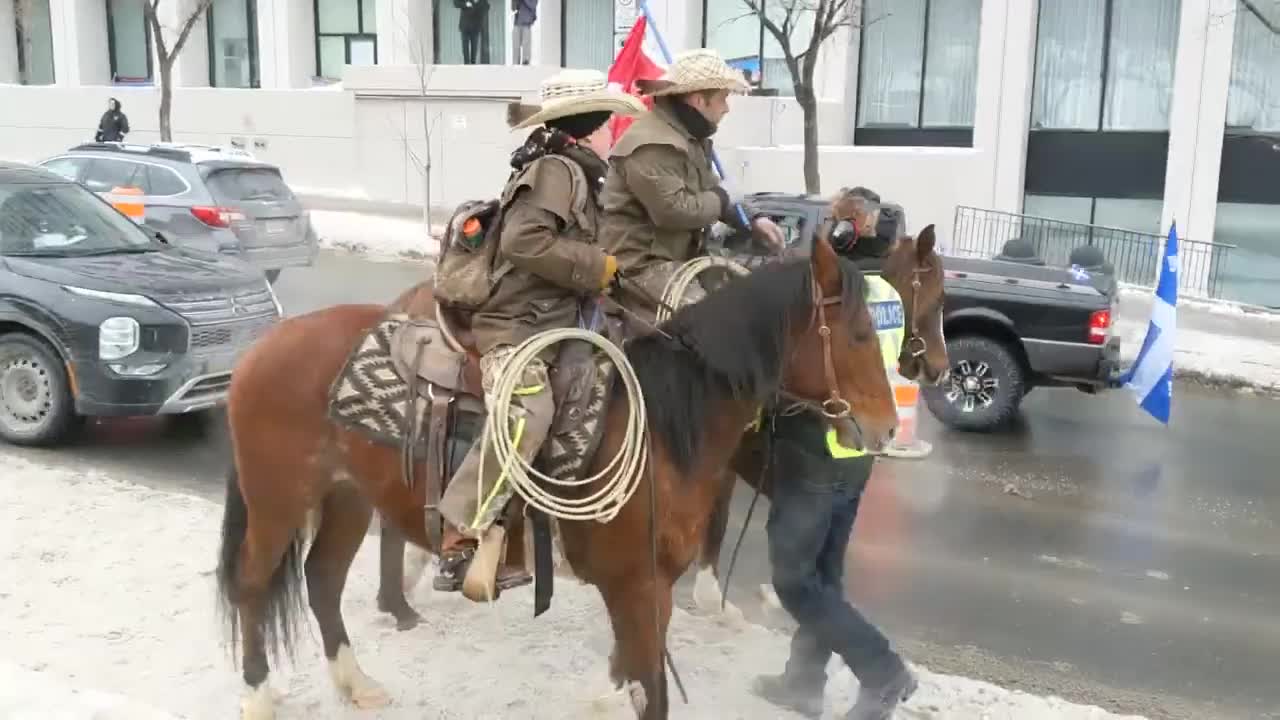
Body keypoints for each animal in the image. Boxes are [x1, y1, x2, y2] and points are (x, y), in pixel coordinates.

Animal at [215, 233, 896, 712]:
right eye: (862, 333)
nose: (885, 429)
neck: (663, 426)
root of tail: (265, 343)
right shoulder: (637, 587)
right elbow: (650, 688)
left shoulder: (652, 590)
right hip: (277, 499)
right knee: (251, 585)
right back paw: (257, 695)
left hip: (347, 498)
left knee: (322, 581)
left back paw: (356, 684)